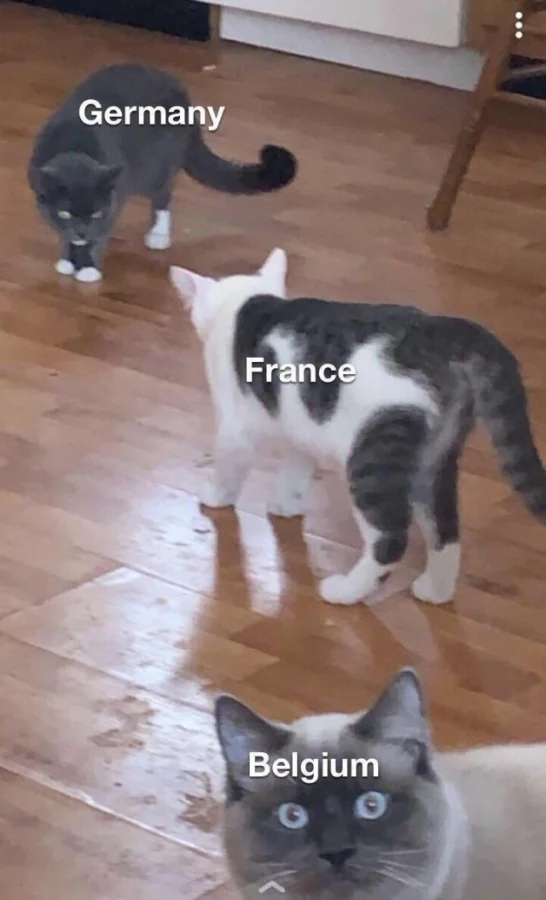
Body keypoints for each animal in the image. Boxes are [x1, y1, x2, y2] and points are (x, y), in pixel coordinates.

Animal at [28, 63, 296, 283]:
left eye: (96, 213)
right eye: (65, 213)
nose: (81, 232)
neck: (73, 148)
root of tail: (185, 97)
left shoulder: (113, 201)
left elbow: (100, 233)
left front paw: (87, 267)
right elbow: (62, 232)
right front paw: (67, 258)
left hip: (156, 168)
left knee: (163, 195)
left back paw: (158, 235)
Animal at [169, 248, 546, 607]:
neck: (244, 304)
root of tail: (438, 331)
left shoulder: (235, 429)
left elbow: (229, 467)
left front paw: (216, 497)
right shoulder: (299, 429)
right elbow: (295, 471)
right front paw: (286, 504)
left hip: (373, 456)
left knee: (390, 539)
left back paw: (346, 592)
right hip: (433, 458)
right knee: (445, 528)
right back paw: (435, 591)